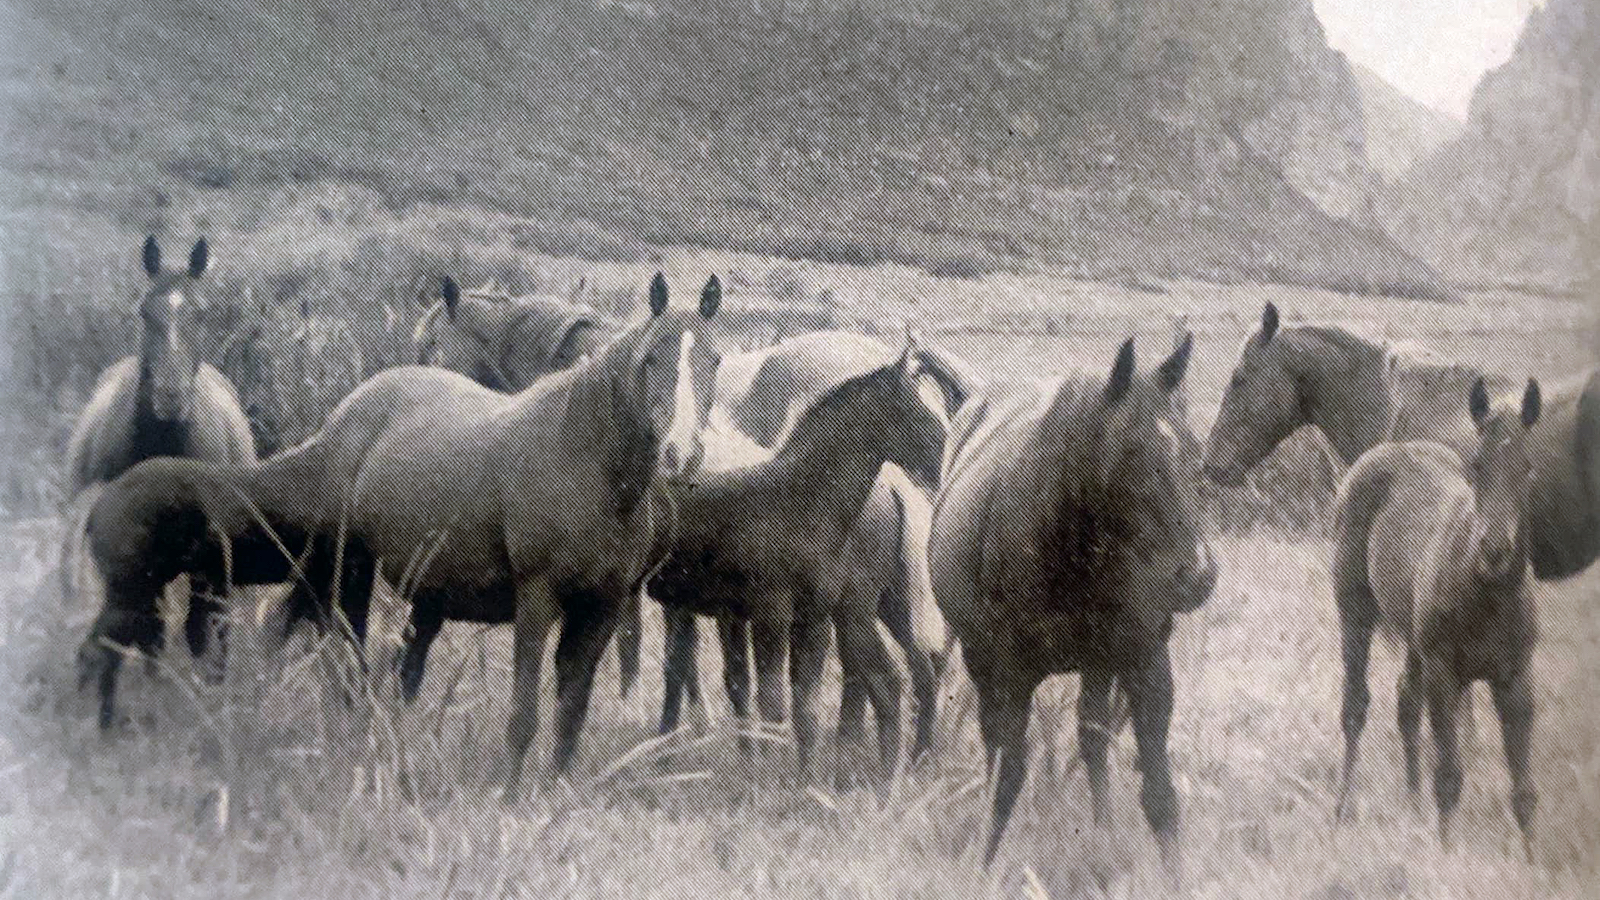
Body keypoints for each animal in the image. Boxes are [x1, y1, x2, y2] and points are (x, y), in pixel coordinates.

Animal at [647, 346, 948, 781]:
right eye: (913, 409)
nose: (943, 459)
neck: (801, 502)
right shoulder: (768, 614)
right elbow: (770, 700)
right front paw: (767, 774)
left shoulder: (813, 617)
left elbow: (801, 707)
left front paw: (801, 781)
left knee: (894, 678)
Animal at [930, 334, 1217, 868]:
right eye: (1132, 453)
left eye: (1192, 449)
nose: (1197, 575)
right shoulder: (1010, 671)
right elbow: (1006, 776)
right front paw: (984, 864)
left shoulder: (1142, 659)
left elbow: (1159, 794)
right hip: (982, 659)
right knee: (997, 743)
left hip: (1098, 662)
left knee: (1092, 735)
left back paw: (1103, 836)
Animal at [1329, 377, 1544, 859]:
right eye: (1477, 466)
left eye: (1527, 467)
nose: (1494, 549)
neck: (1486, 594)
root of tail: (1390, 448)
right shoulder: (1444, 672)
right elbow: (1449, 773)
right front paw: (1445, 853)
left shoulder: (1516, 679)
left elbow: (1524, 788)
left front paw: (1531, 861)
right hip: (1355, 612)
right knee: (1355, 705)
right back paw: (1343, 808)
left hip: (1413, 641)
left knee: (1406, 701)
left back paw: (1412, 805)